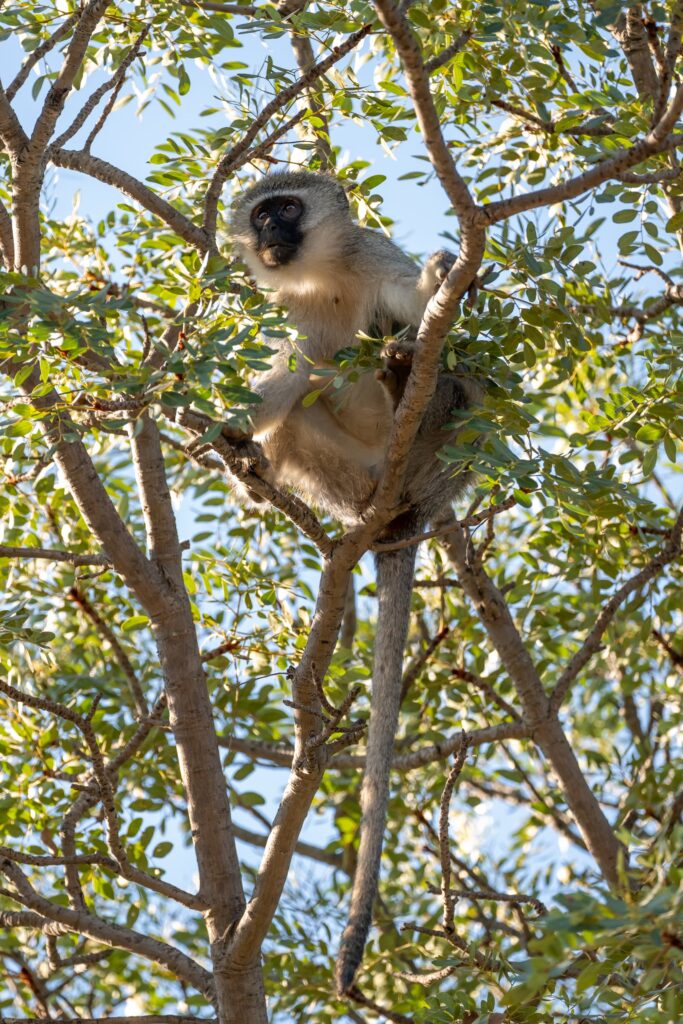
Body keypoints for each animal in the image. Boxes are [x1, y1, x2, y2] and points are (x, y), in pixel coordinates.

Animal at [232, 172, 479, 995]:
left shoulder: (373, 257)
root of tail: (404, 504)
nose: (271, 233)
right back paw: (249, 459)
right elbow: (281, 350)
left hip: (433, 442)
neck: (322, 278)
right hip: (340, 474)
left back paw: (401, 375)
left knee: (420, 371)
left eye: (287, 207)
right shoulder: (277, 302)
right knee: (300, 371)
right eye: (261, 214)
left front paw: (436, 283)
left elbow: (420, 308)